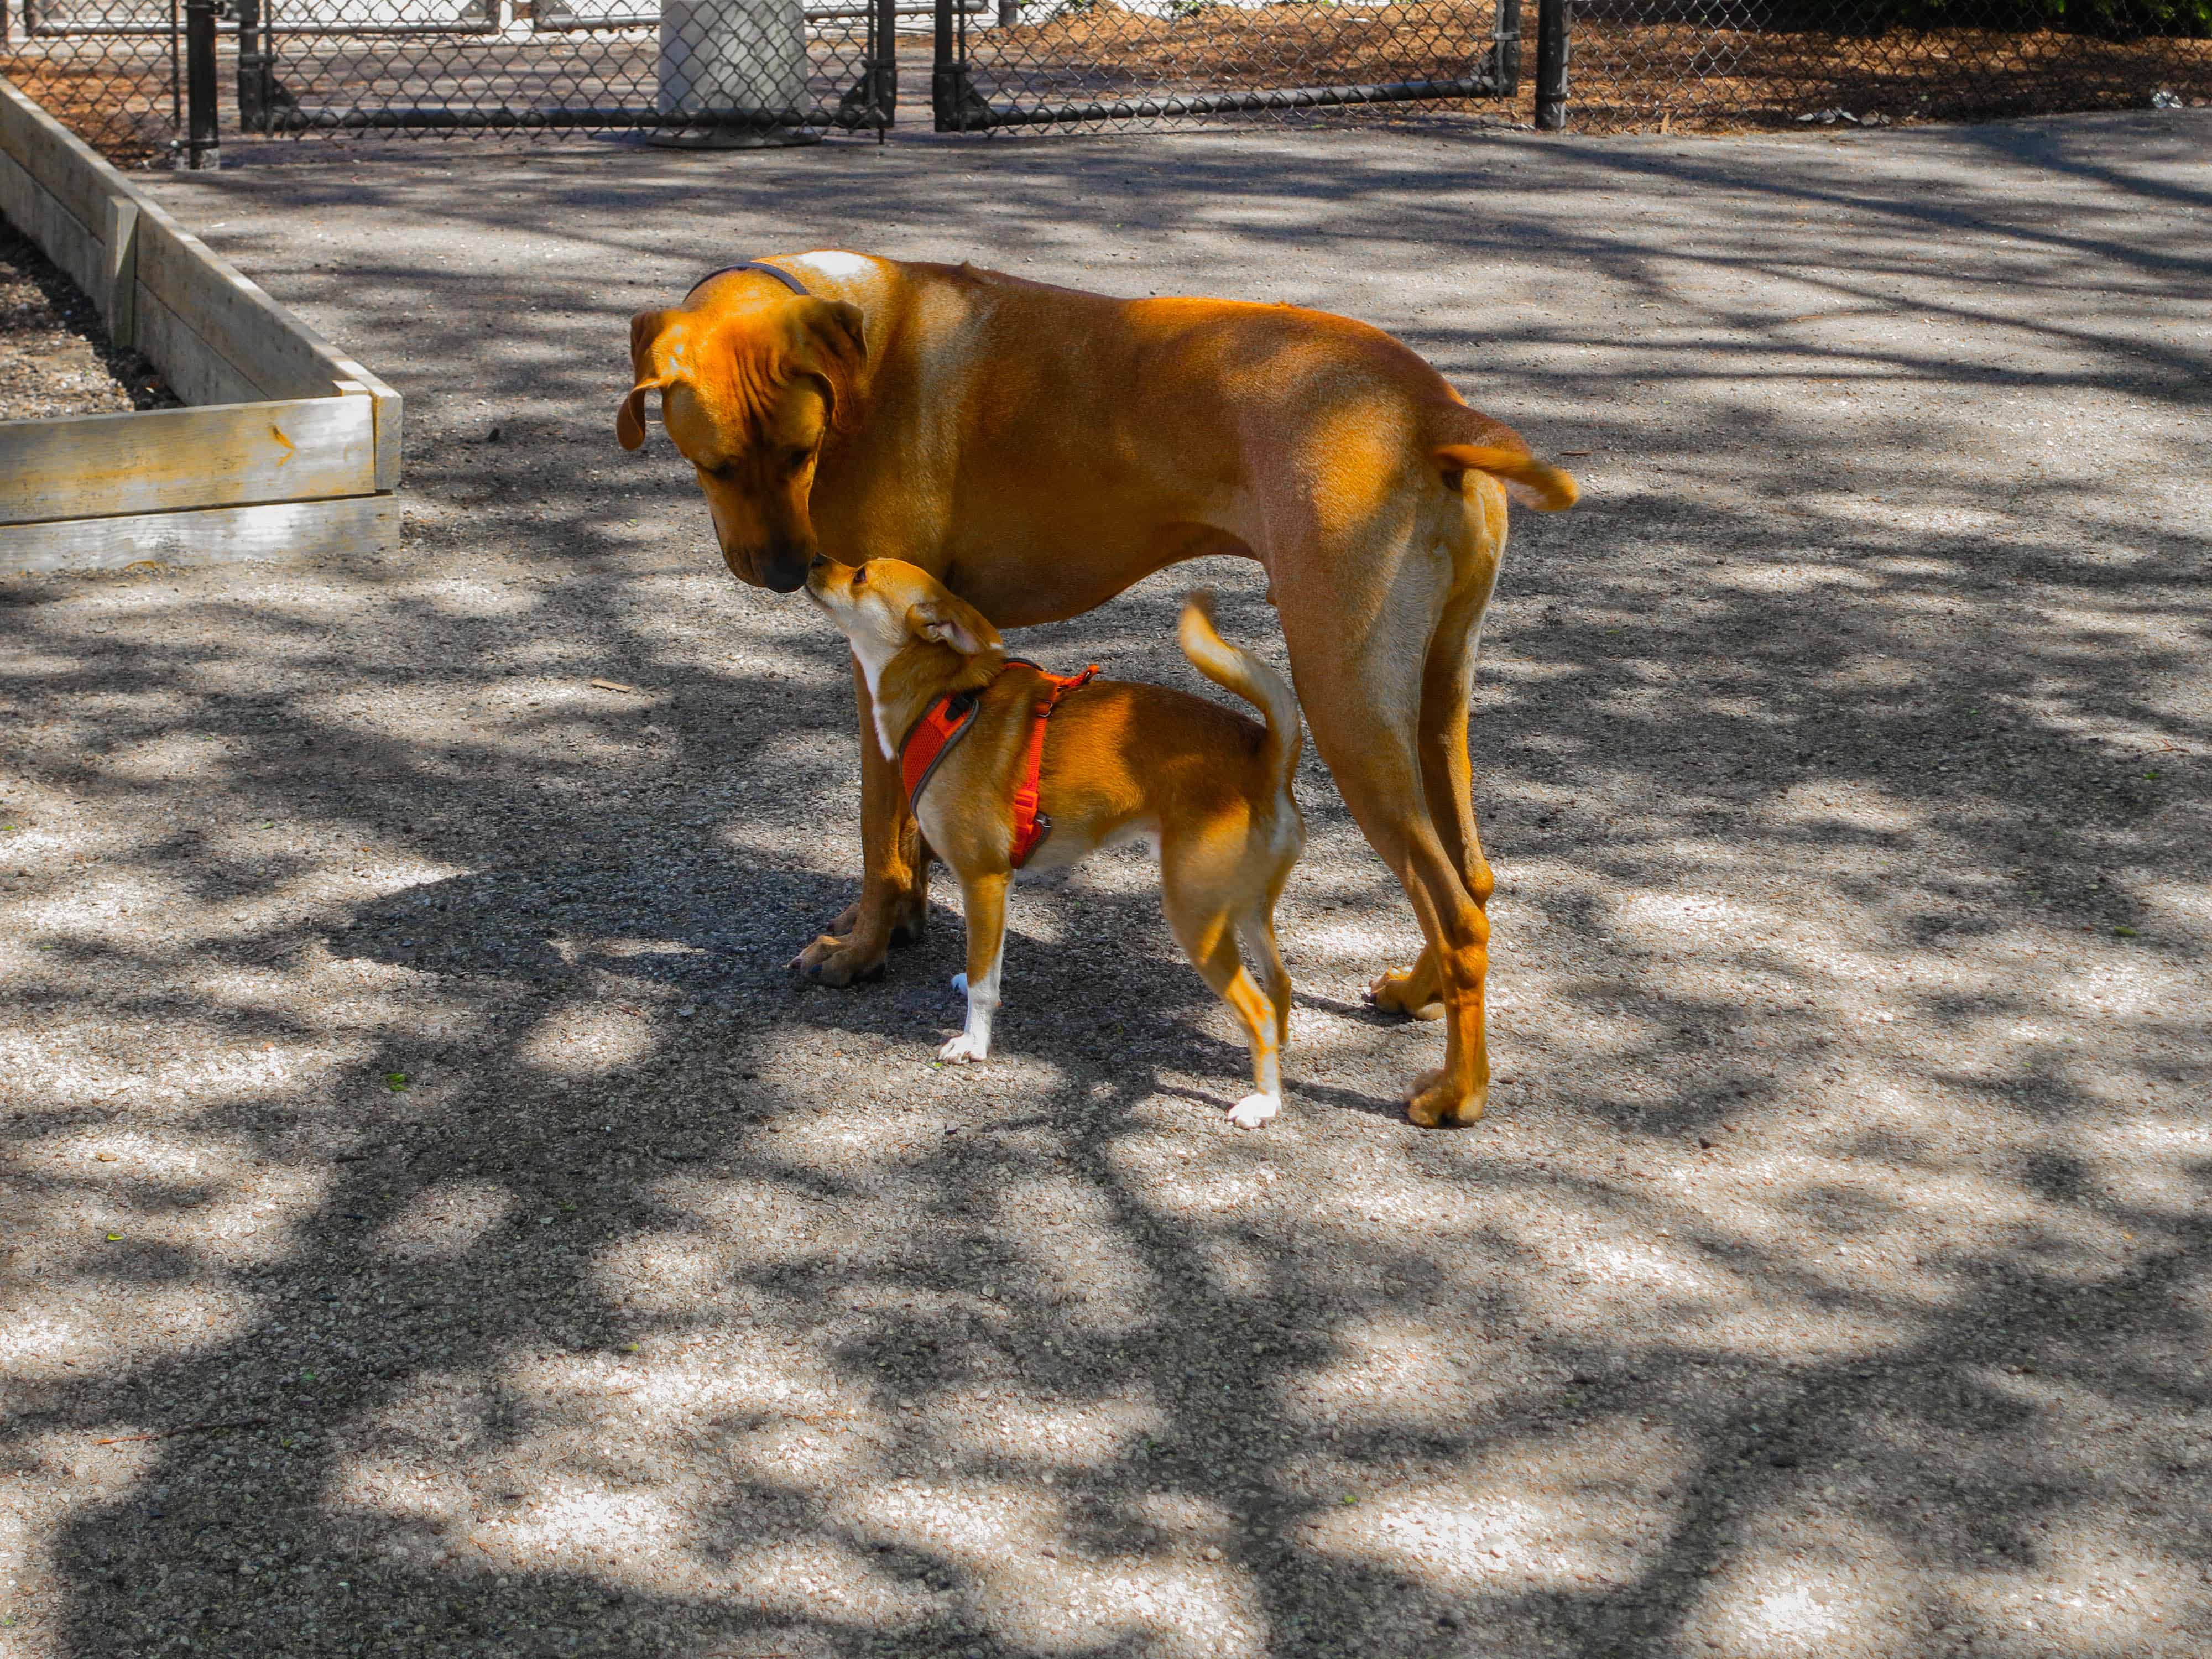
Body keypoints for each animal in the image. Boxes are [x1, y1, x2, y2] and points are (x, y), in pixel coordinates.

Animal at [805, 560, 1301, 1133]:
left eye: (861, 574)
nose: (814, 559)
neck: (944, 700)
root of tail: (1266, 757)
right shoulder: (997, 888)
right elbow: (989, 963)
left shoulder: (982, 879)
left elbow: (983, 980)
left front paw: (974, 1044)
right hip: (1245, 911)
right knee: (1279, 987)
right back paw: (1277, 1072)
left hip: (1197, 919)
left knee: (1257, 1009)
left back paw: (1263, 1102)